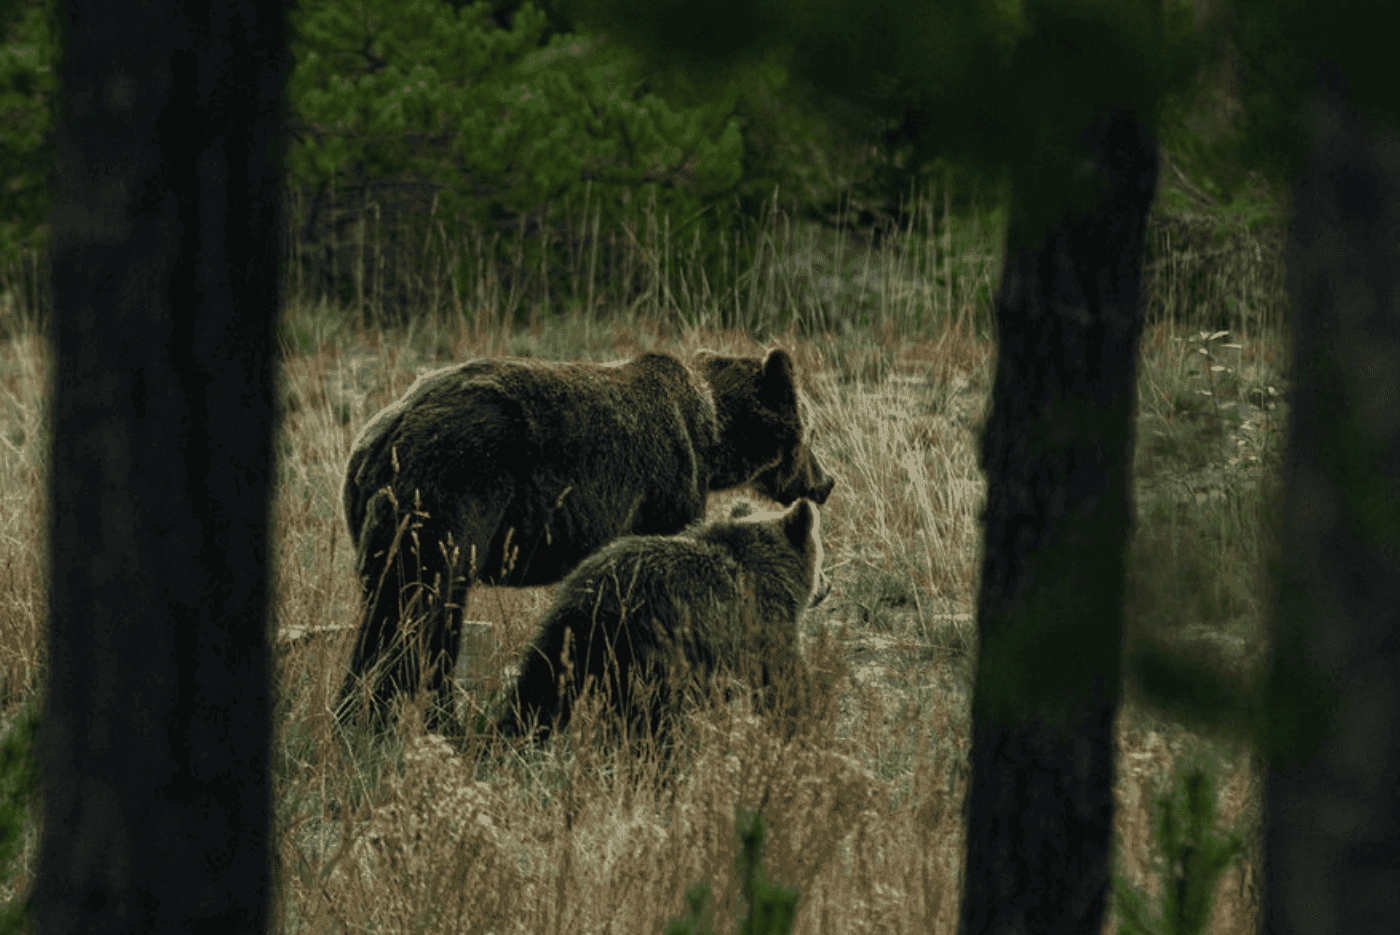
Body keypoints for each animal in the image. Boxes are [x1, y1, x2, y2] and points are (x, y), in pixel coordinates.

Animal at [496, 497, 827, 741]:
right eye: (822, 554)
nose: (827, 584)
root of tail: (596, 605)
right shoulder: (760, 625)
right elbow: (782, 679)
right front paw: (801, 724)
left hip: (561, 636)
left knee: (537, 693)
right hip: (654, 652)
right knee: (652, 717)